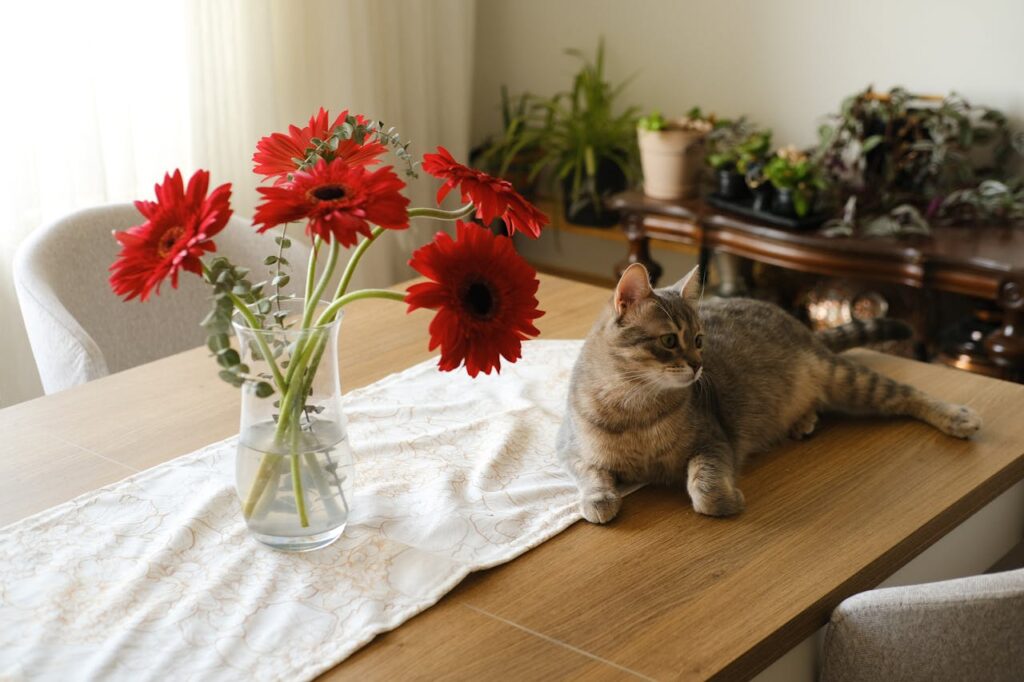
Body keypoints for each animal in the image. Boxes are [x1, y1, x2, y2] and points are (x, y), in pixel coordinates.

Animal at [561, 262, 983, 522]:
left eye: (699, 339)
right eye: (668, 340)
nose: (698, 365)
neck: (637, 405)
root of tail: (803, 326)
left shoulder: (715, 441)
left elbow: (705, 489)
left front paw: (727, 500)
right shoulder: (569, 448)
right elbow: (591, 473)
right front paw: (599, 500)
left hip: (850, 380)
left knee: (911, 393)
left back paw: (955, 416)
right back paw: (803, 421)